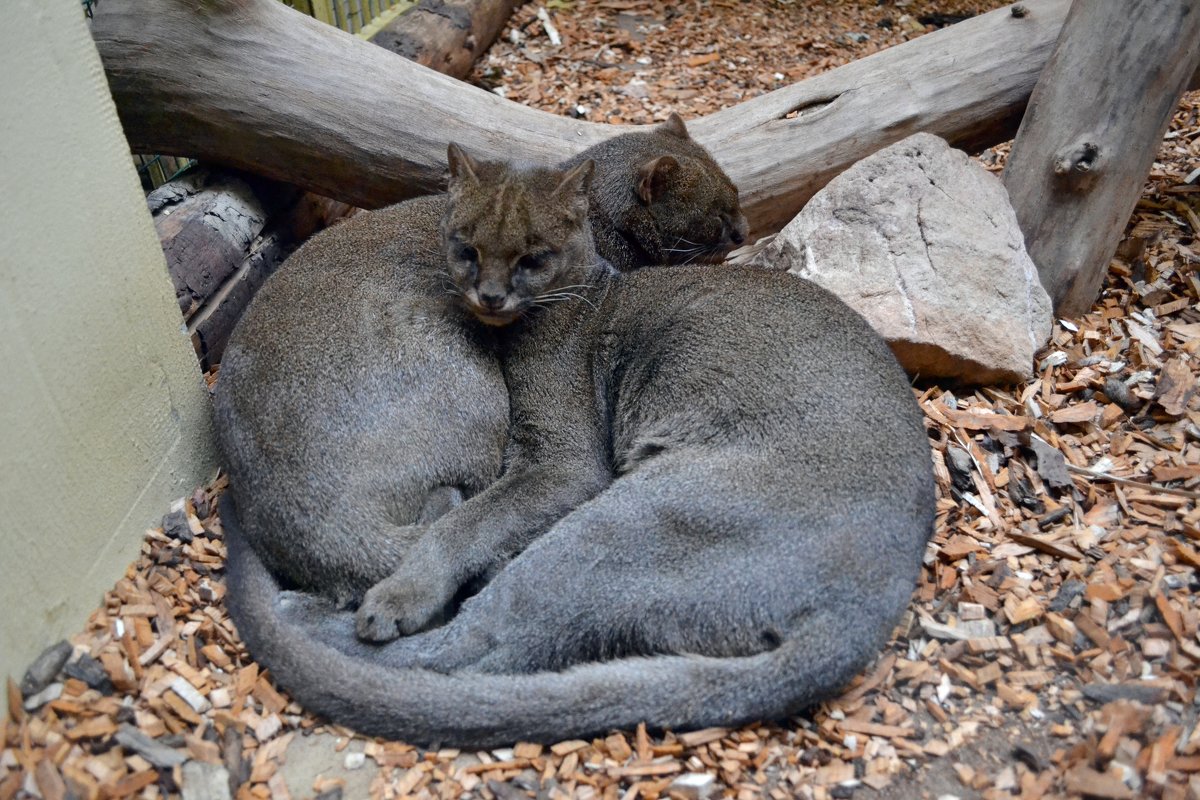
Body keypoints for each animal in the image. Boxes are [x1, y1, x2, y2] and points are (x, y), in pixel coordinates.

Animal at [223, 142, 936, 743]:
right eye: (719, 213)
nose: (741, 234)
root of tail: (863, 609)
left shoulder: (561, 461)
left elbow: (469, 528)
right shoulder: (553, 453)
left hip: (620, 527)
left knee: (477, 643)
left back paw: (310, 611)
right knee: (475, 638)